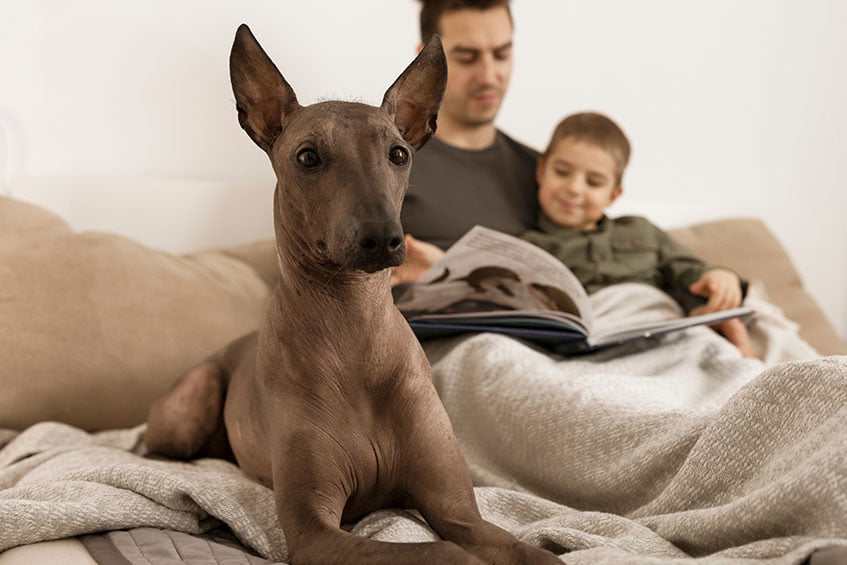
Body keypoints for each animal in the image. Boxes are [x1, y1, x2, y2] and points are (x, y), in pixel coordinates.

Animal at [147, 23, 564, 564]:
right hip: (191, 403)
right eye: (307, 156)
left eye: (398, 154)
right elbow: (437, 552)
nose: (383, 237)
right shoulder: (314, 529)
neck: (353, 334)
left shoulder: (458, 511)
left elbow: (531, 552)